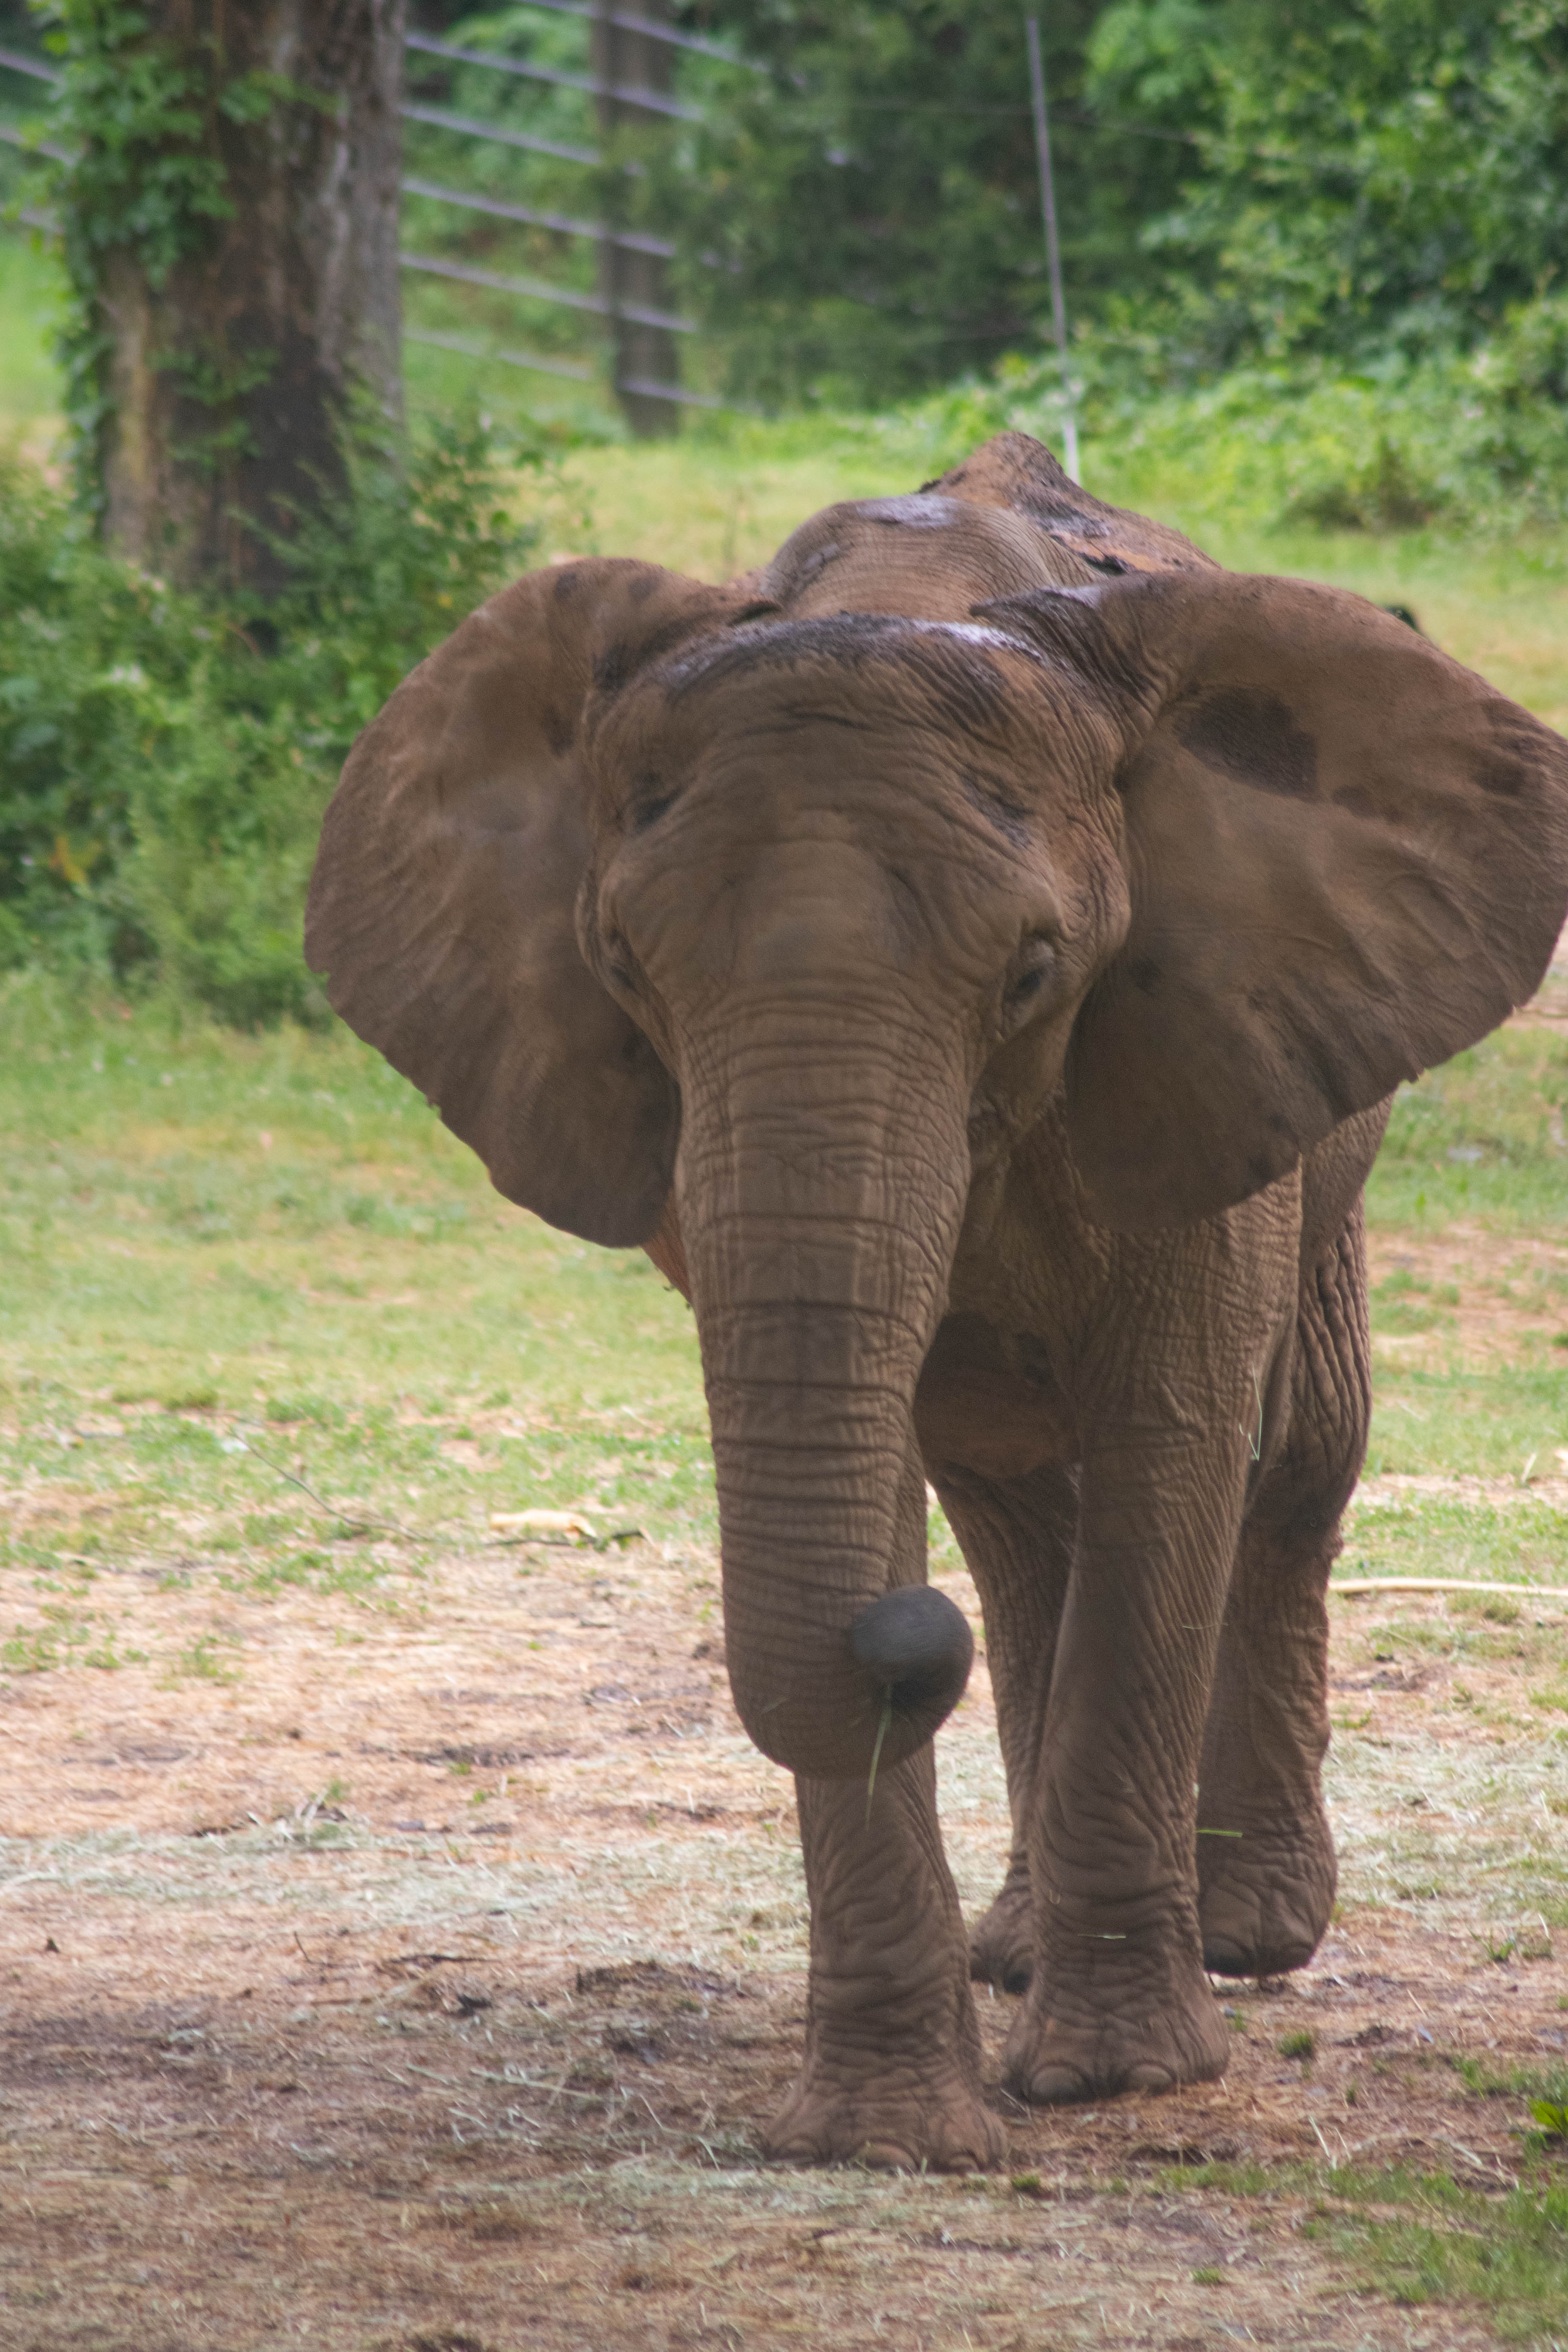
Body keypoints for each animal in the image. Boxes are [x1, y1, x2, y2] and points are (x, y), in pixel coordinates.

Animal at [305, 437, 1568, 2163]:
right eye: (624, 965)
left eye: (1035, 971)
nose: (902, 1649)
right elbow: (874, 1449)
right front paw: (884, 2133)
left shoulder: (1204, 1012)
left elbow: (1177, 1434)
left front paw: (1119, 2083)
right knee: (1014, 1506)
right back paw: (1021, 1944)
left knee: (1293, 1450)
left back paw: (1245, 1936)